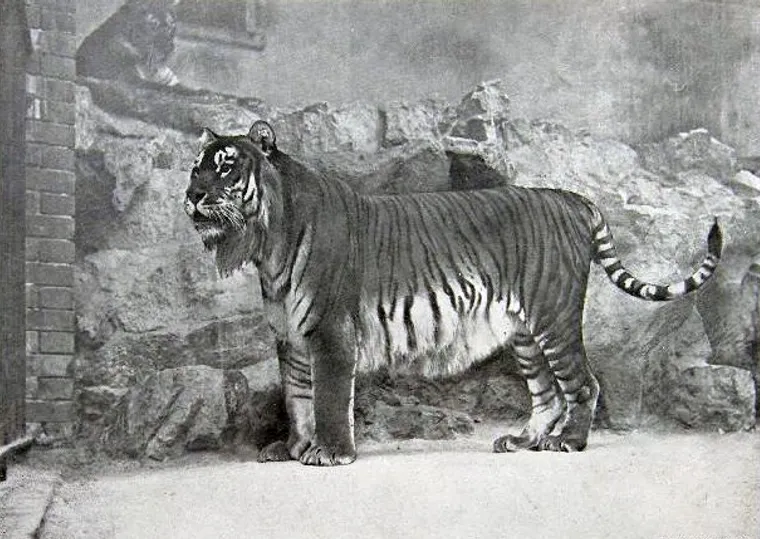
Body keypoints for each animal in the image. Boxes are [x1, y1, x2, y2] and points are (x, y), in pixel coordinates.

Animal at [184, 120, 722, 466]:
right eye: (195, 168)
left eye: (226, 167)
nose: (191, 196)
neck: (267, 243)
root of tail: (571, 198)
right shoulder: (290, 337)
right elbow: (297, 397)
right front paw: (293, 448)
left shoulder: (329, 332)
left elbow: (329, 398)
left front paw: (330, 453)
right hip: (525, 332)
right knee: (546, 393)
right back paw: (521, 441)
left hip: (554, 317)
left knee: (583, 384)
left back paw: (568, 442)